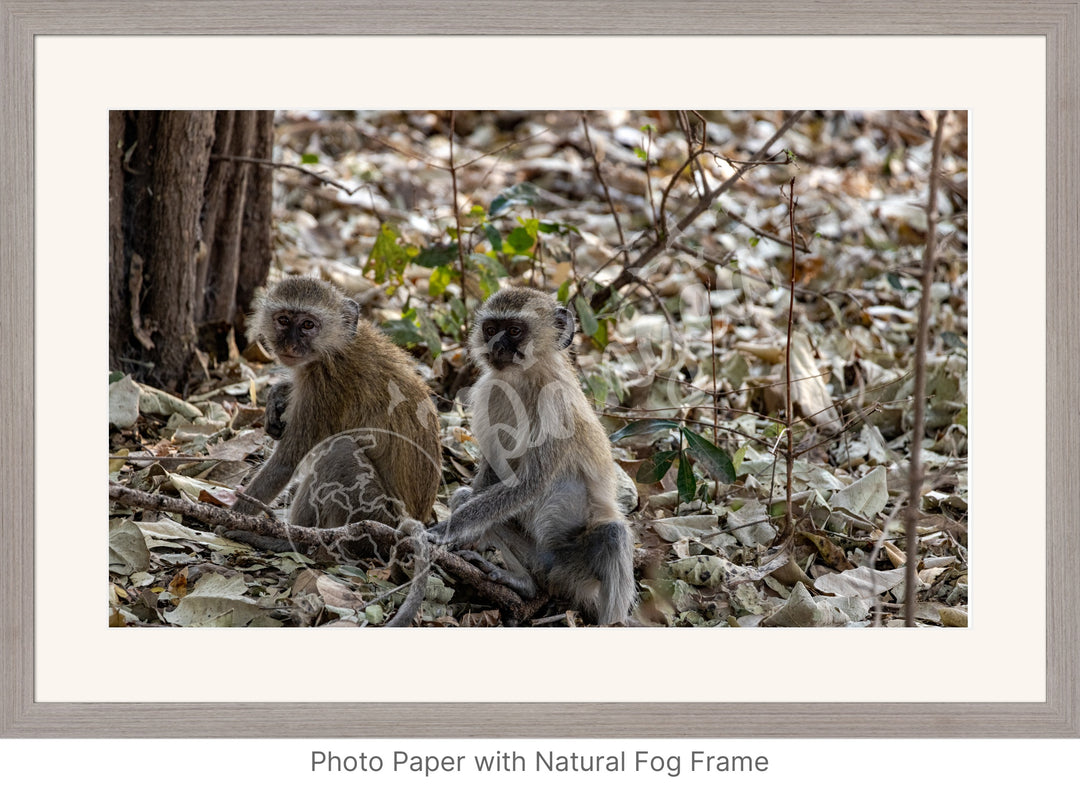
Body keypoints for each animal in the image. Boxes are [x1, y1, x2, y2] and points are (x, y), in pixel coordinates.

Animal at [427, 289, 630, 622]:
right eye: (491, 329)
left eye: (513, 331)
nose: (495, 346)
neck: (524, 380)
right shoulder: (491, 392)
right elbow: (493, 475)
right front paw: (462, 538)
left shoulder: (556, 406)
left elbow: (530, 484)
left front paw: (444, 530)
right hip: (537, 557)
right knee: (466, 497)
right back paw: (522, 582)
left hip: (578, 569)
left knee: (613, 535)